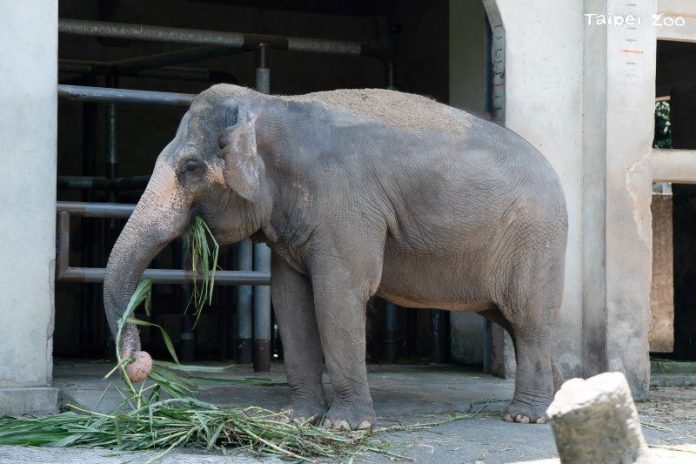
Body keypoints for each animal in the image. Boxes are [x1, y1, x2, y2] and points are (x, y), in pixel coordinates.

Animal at [104, 84, 572, 432]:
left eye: (191, 168)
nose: (141, 365)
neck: (270, 104)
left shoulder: (346, 205)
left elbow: (338, 293)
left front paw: (345, 428)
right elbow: (290, 301)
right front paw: (296, 420)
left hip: (536, 239)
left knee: (527, 318)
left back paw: (524, 416)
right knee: (515, 321)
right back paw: (557, 400)